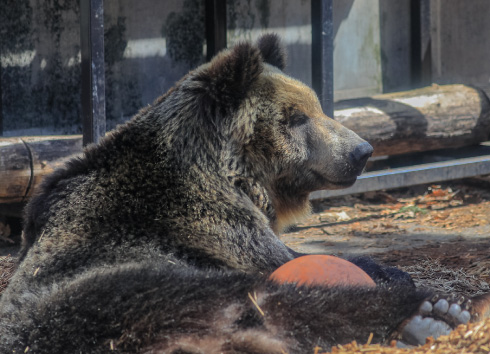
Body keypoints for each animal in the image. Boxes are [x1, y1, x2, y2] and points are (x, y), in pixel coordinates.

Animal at [0, 34, 486, 354]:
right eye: (296, 117)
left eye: (317, 107)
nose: (362, 151)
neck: (235, 176)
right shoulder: (210, 222)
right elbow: (287, 259)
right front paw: (391, 272)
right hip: (118, 296)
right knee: (287, 301)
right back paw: (433, 313)